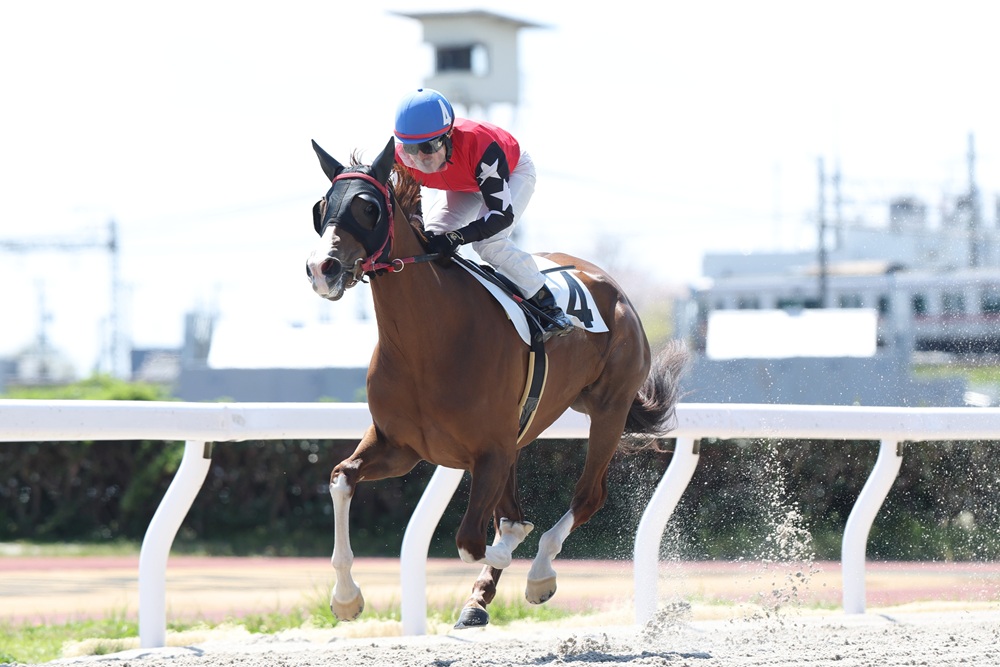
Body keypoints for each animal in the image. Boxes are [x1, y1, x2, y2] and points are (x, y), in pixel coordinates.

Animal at [305, 136, 689, 628]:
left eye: (368, 207)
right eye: (321, 207)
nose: (323, 268)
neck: (427, 345)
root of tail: (609, 283)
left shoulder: (490, 450)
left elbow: (475, 540)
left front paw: (523, 558)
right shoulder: (401, 447)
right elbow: (341, 479)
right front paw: (346, 597)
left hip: (609, 409)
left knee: (588, 496)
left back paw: (539, 574)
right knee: (514, 509)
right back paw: (478, 600)